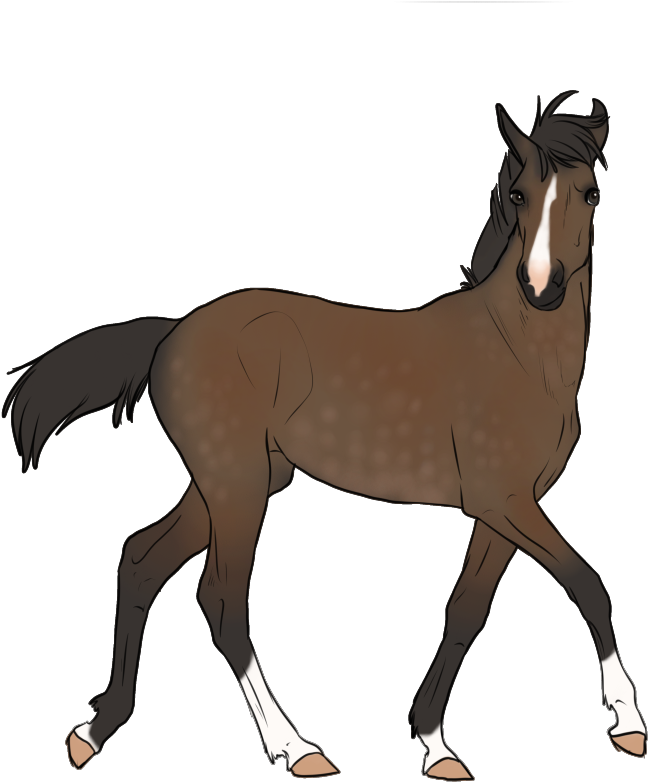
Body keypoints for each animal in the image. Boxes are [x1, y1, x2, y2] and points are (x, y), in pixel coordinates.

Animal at [4, 91, 645, 779]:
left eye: (590, 194)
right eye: (520, 193)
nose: (542, 286)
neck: (519, 352)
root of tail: (173, 333)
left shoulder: (506, 509)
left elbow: (466, 611)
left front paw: (436, 747)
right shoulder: (503, 501)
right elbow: (588, 584)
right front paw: (628, 725)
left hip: (232, 482)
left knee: (142, 561)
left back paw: (91, 733)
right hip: (235, 485)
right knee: (221, 600)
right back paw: (298, 749)